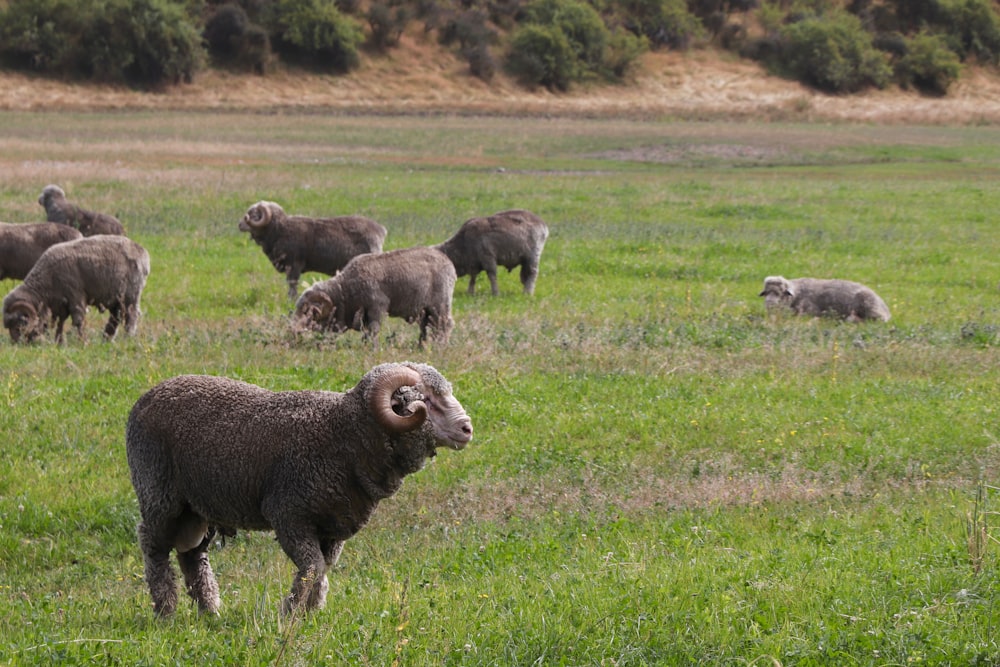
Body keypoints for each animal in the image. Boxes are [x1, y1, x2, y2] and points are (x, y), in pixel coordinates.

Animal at [2, 236, 151, 344]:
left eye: (21, 322)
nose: (16, 343)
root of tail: (142, 252)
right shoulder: (60, 303)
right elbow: (61, 323)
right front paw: (59, 341)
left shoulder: (75, 296)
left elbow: (78, 320)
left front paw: (81, 341)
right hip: (116, 298)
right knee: (116, 317)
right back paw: (106, 339)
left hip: (131, 295)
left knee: (131, 316)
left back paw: (128, 337)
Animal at [126, 362, 476, 620]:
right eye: (425, 400)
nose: (467, 428)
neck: (342, 435)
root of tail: (145, 398)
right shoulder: (289, 515)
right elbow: (312, 567)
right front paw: (291, 613)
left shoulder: (333, 527)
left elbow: (323, 568)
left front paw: (311, 612)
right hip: (159, 494)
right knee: (153, 546)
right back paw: (166, 610)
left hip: (198, 508)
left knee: (193, 555)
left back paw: (210, 611)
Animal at [238, 200, 386, 298]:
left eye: (254, 215)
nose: (239, 225)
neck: (280, 230)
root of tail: (380, 230)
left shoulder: (294, 265)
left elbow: (292, 285)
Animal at [292, 247, 458, 350]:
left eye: (308, 312)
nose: (294, 331)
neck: (345, 292)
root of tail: (449, 263)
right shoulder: (364, 313)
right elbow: (367, 332)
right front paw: (365, 346)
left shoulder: (377, 307)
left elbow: (374, 330)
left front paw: (374, 349)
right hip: (426, 309)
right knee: (427, 326)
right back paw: (422, 347)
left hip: (440, 304)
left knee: (445, 324)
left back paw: (440, 346)